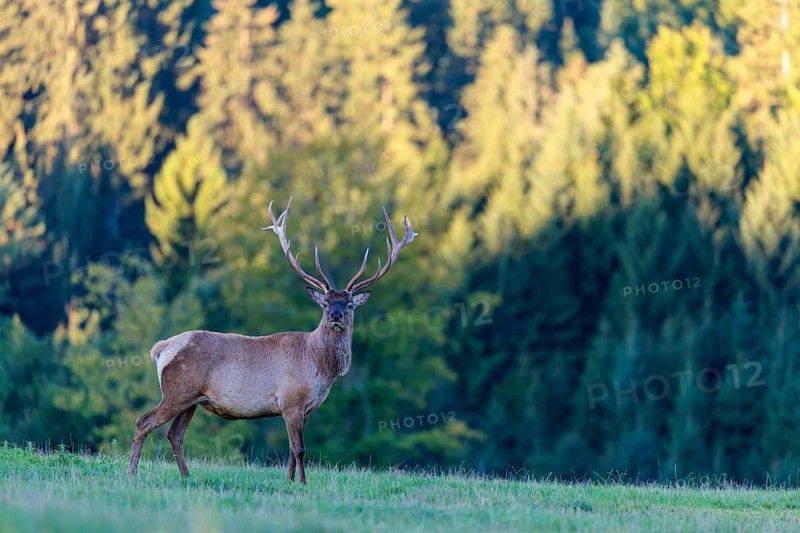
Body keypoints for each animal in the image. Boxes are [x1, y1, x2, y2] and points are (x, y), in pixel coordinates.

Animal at [127, 197, 416, 483]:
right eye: (325, 303)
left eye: (349, 305)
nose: (336, 315)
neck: (319, 365)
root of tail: (162, 348)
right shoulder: (290, 399)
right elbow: (299, 448)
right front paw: (303, 482)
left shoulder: (304, 408)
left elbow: (290, 449)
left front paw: (289, 481)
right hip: (177, 391)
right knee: (144, 421)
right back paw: (132, 472)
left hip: (192, 400)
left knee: (175, 434)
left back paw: (187, 477)